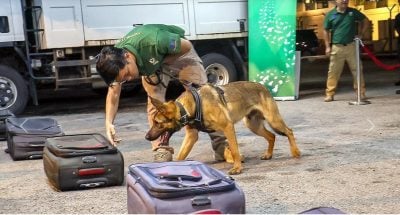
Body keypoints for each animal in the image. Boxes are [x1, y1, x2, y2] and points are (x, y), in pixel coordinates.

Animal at [146, 81, 300, 175]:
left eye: (158, 123)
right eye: (153, 122)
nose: (147, 137)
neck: (188, 107)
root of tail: (263, 87)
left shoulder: (227, 127)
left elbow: (235, 150)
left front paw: (237, 168)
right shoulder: (191, 136)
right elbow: (180, 156)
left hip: (273, 120)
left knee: (289, 131)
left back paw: (295, 152)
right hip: (253, 126)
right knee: (272, 136)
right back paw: (268, 154)